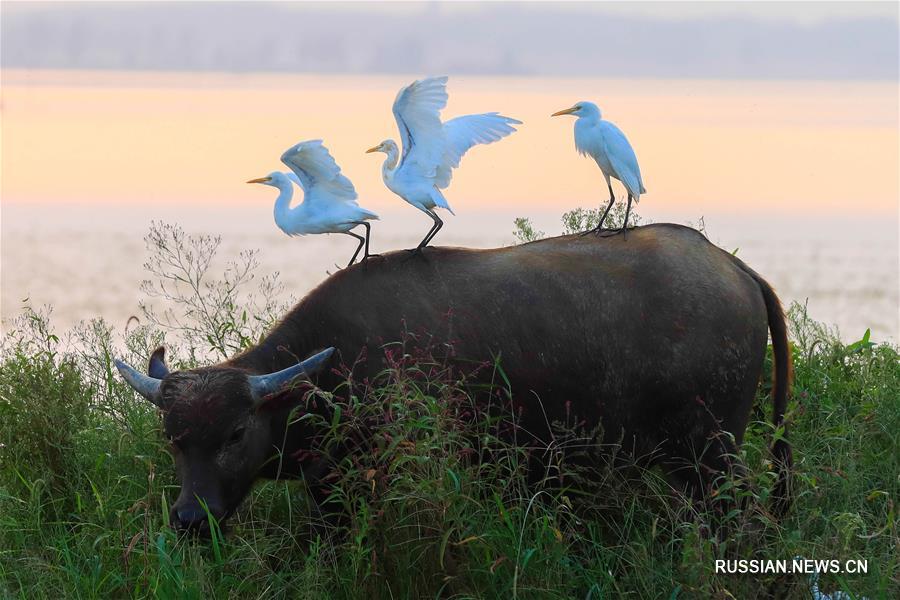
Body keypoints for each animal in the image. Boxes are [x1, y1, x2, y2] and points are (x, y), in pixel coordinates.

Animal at [116, 223, 792, 532]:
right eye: (174, 439)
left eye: (235, 434)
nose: (189, 519)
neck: (336, 367)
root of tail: (736, 267)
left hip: (715, 453)